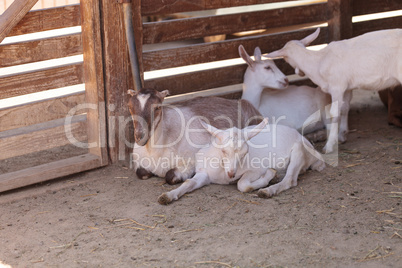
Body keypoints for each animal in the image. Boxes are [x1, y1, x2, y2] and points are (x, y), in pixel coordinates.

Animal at [127, 87, 262, 184]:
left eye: (158, 107)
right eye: (130, 107)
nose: (140, 137)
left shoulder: (190, 163)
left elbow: (170, 176)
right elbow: (141, 173)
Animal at [157, 118, 324, 205]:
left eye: (245, 153)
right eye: (224, 151)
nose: (231, 174)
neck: (221, 170)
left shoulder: (256, 169)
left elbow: (243, 185)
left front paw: (269, 176)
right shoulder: (204, 174)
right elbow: (189, 182)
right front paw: (167, 196)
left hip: (299, 151)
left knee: (290, 179)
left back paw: (268, 190)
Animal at [264, 28, 402, 154]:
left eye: (286, 60)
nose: (299, 73)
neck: (318, 62)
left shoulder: (337, 87)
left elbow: (334, 113)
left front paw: (329, 145)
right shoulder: (346, 88)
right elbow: (345, 108)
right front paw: (342, 135)